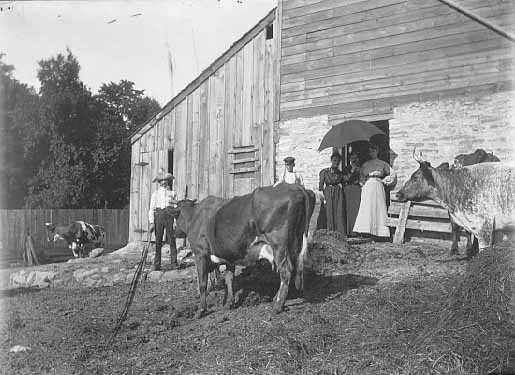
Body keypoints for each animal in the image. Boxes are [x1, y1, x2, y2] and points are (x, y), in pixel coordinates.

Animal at [175, 184, 316, 318]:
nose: (176, 232)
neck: (194, 216)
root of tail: (296, 187)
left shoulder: (200, 254)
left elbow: (202, 283)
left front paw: (201, 310)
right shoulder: (229, 255)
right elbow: (229, 279)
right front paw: (229, 303)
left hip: (279, 246)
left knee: (286, 271)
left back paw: (277, 306)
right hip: (296, 243)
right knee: (294, 269)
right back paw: (277, 298)